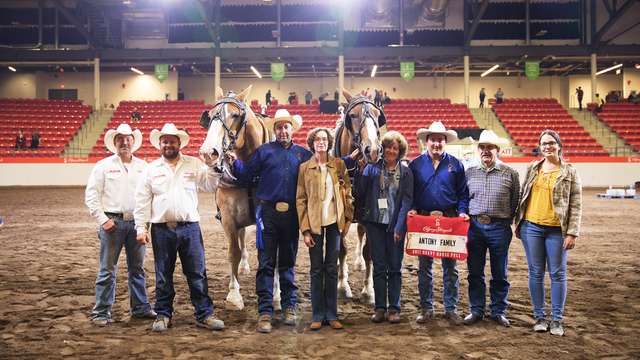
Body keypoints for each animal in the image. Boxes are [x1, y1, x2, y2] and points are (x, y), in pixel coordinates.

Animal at [200, 86, 280, 310]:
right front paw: (234, 294)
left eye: (235, 115)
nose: (208, 153)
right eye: (211, 115)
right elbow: (233, 252)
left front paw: (276, 293)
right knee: (241, 237)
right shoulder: (228, 217)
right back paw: (244, 265)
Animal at [332, 90, 388, 304]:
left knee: (361, 234)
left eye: (377, 114)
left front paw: (368, 290)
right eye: (353, 115)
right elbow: (341, 249)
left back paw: (359, 263)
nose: (372, 150)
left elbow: (369, 252)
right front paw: (342, 286)